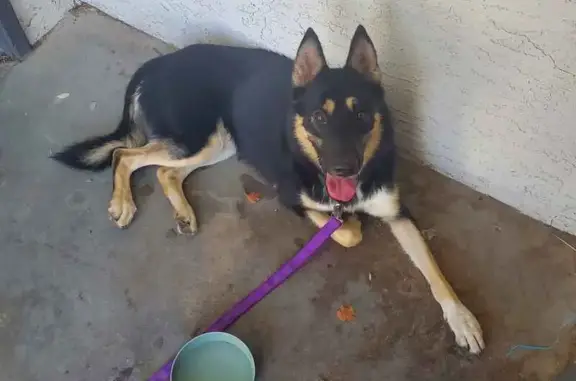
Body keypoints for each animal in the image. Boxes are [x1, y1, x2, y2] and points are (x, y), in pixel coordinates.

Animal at [53, 25, 486, 352]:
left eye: (362, 115)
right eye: (318, 118)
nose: (343, 169)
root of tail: (159, 63)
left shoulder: (397, 212)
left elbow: (434, 270)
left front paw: (461, 317)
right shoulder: (292, 198)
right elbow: (348, 232)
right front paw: (348, 222)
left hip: (220, 143)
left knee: (162, 172)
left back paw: (183, 213)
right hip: (197, 137)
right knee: (125, 154)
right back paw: (123, 203)